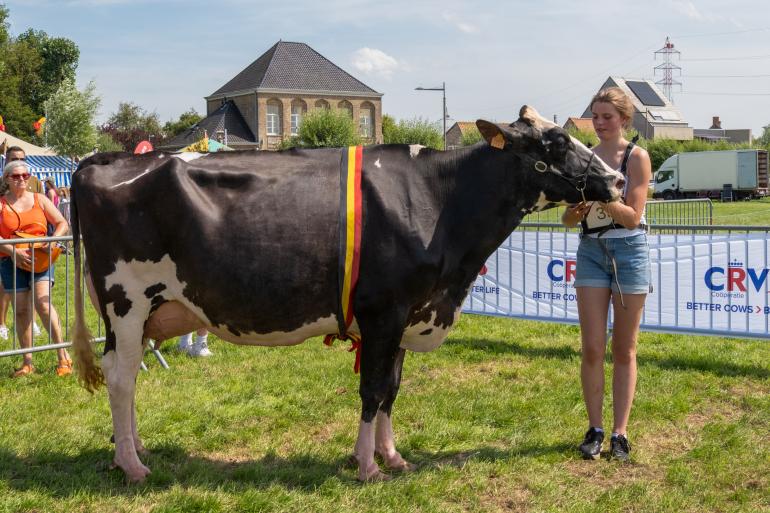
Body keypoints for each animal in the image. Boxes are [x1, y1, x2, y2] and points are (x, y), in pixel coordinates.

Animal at [70, 106, 624, 482]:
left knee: (127, 375)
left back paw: (134, 450)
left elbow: (392, 389)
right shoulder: (384, 311)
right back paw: (131, 464)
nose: (618, 179)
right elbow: (373, 390)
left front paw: (392, 456)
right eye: (556, 142)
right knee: (120, 376)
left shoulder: (406, 314)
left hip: (146, 312)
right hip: (127, 301)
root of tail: (101, 161)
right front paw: (365, 466)